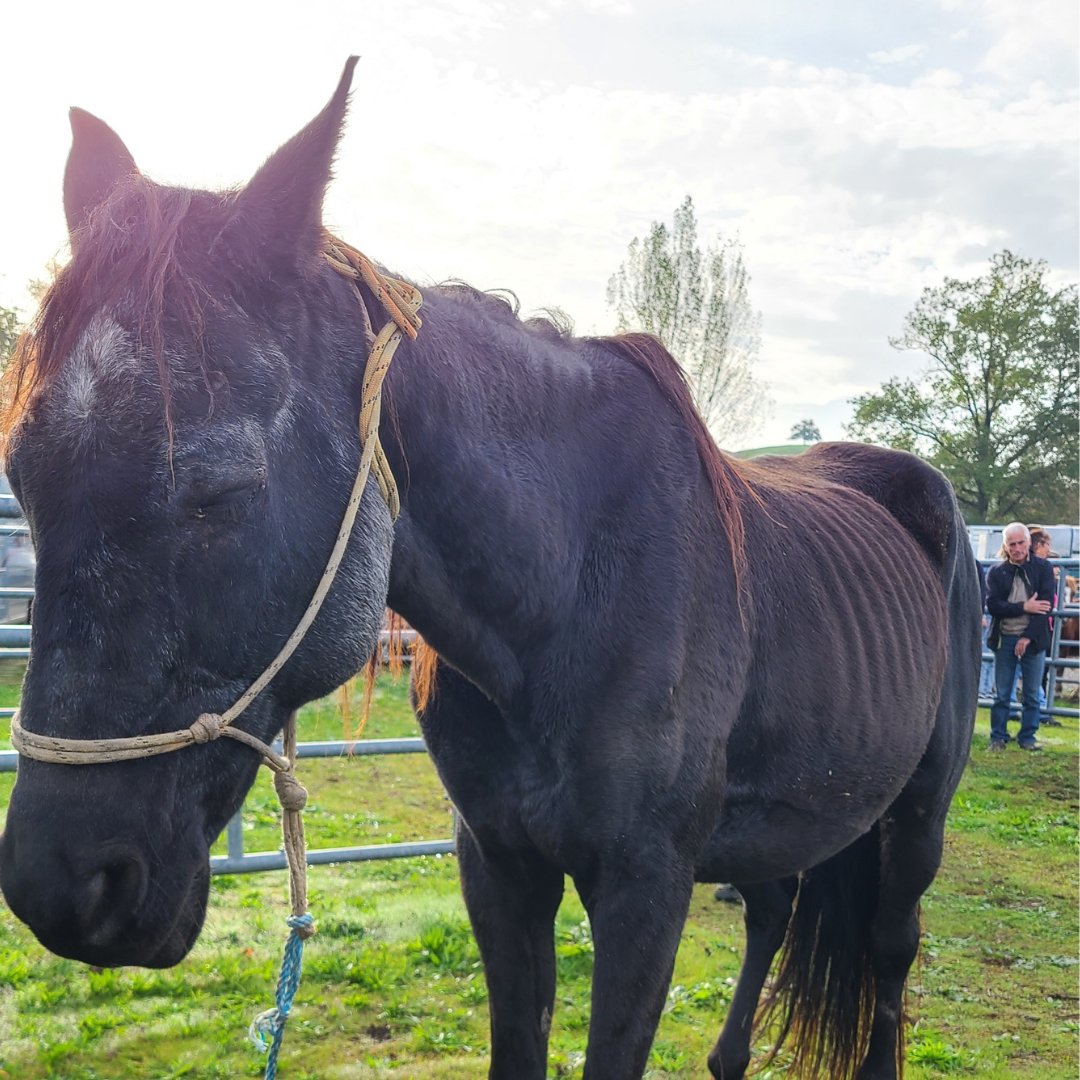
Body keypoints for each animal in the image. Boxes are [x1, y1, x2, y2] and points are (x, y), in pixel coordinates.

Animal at [0, 61, 981, 1079]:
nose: (61, 887)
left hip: (918, 818)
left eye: (221, 489)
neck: (574, 592)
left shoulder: (647, 886)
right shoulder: (500, 866)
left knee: (890, 952)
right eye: (22, 479)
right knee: (773, 912)